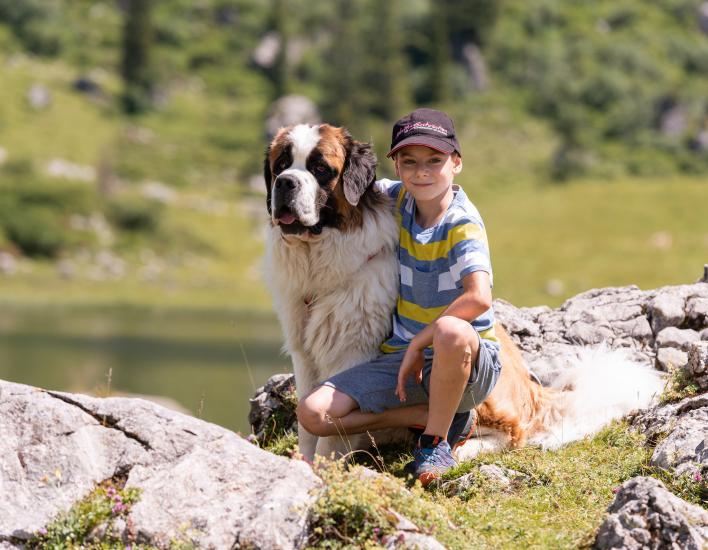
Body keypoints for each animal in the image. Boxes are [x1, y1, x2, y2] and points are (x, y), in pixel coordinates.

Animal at [262, 123, 664, 464]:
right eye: (281, 165)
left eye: (320, 168)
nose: (285, 183)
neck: (318, 259)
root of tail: (534, 393)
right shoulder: (306, 354)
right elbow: (306, 420)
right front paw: (302, 461)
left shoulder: (350, 352)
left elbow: (327, 427)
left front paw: (321, 469)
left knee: (510, 432)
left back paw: (461, 447)